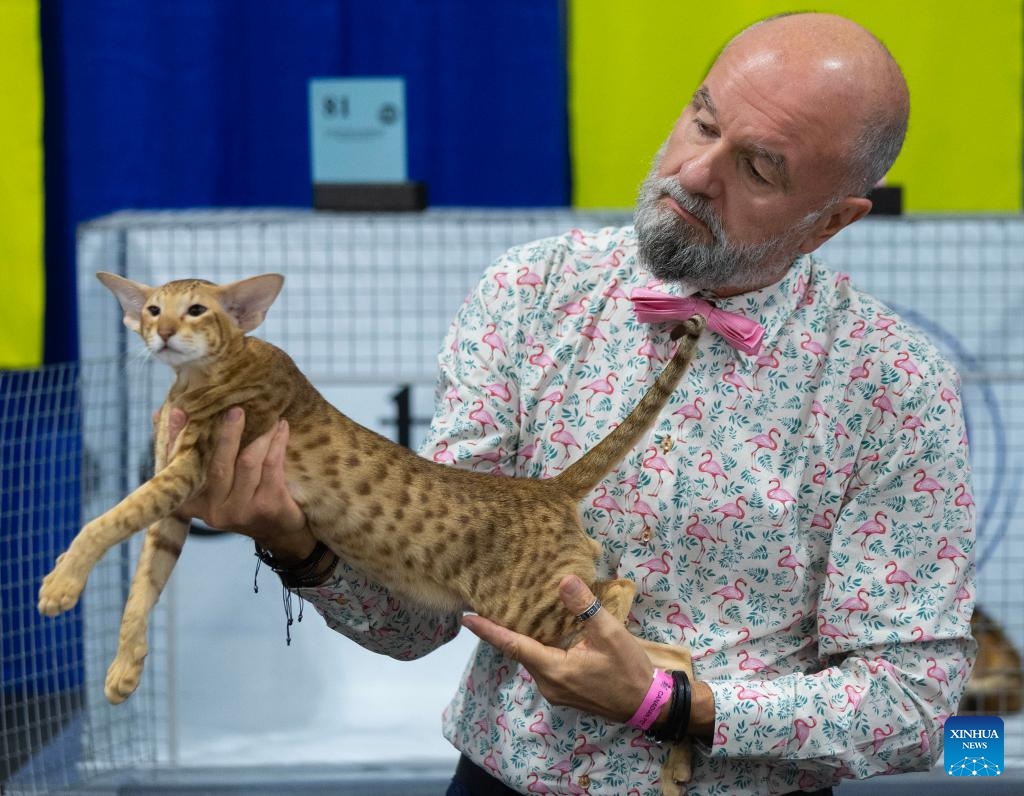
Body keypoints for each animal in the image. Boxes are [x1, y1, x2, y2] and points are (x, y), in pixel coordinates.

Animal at [41, 272, 704, 786]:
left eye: (197, 309)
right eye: (153, 308)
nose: (161, 332)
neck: (196, 378)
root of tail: (548, 488)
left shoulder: (189, 471)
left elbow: (105, 520)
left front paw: (59, 586)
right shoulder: (179, 511)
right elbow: (141, 588)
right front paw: (123, 672)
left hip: (534, 609)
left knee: (623, 599)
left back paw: (612, 648)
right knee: (673, 657)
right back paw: (679, 761)